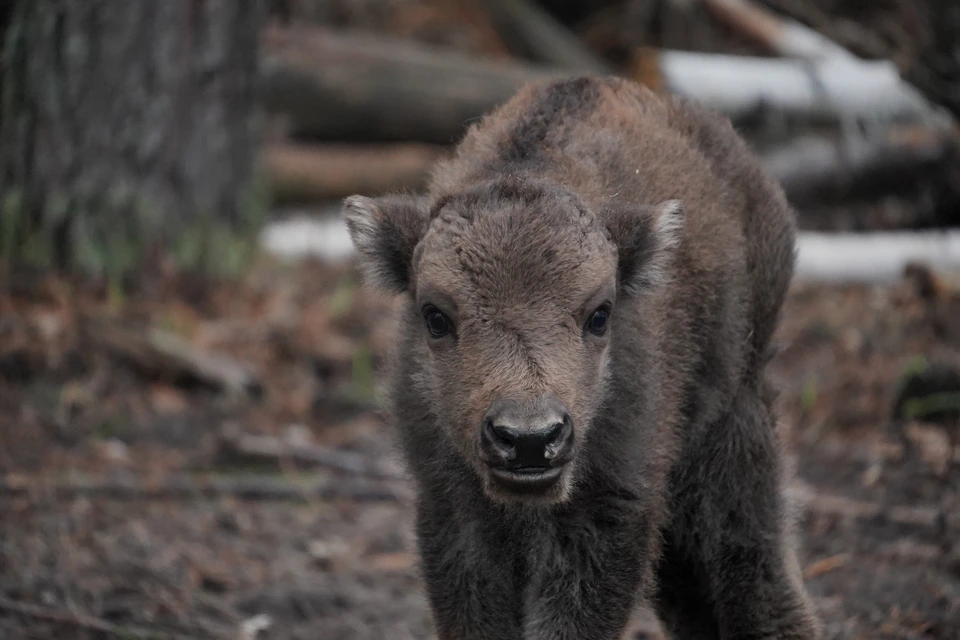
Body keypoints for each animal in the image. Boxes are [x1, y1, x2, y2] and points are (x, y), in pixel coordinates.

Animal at [342, 76, 820, 640]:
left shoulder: (610, 504)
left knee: (749, 558)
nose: (529, 439)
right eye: (435, 316)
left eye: (600, 314)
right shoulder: (451, 506)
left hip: (735, 417)